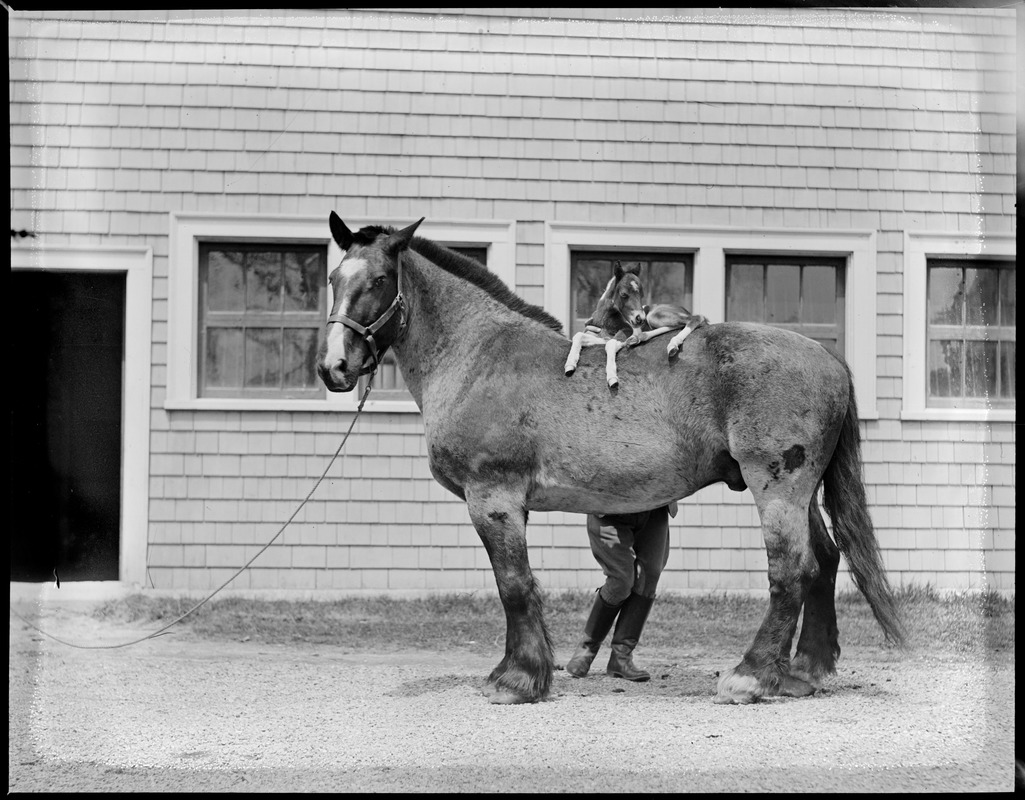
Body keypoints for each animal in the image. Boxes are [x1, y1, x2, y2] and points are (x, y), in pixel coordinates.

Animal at [565, 262, 709, 387]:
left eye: (642, 294)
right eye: (624, 294)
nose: (640, 318)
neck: (606, 317)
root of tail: (683, 309)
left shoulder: (622, 334)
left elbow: (610, 344)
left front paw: (612, 377)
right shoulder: (602, 336)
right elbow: (579, 336)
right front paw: (570, 365)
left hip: (654, 315)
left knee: (696, 318)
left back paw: (672, 344)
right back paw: (639, 337)